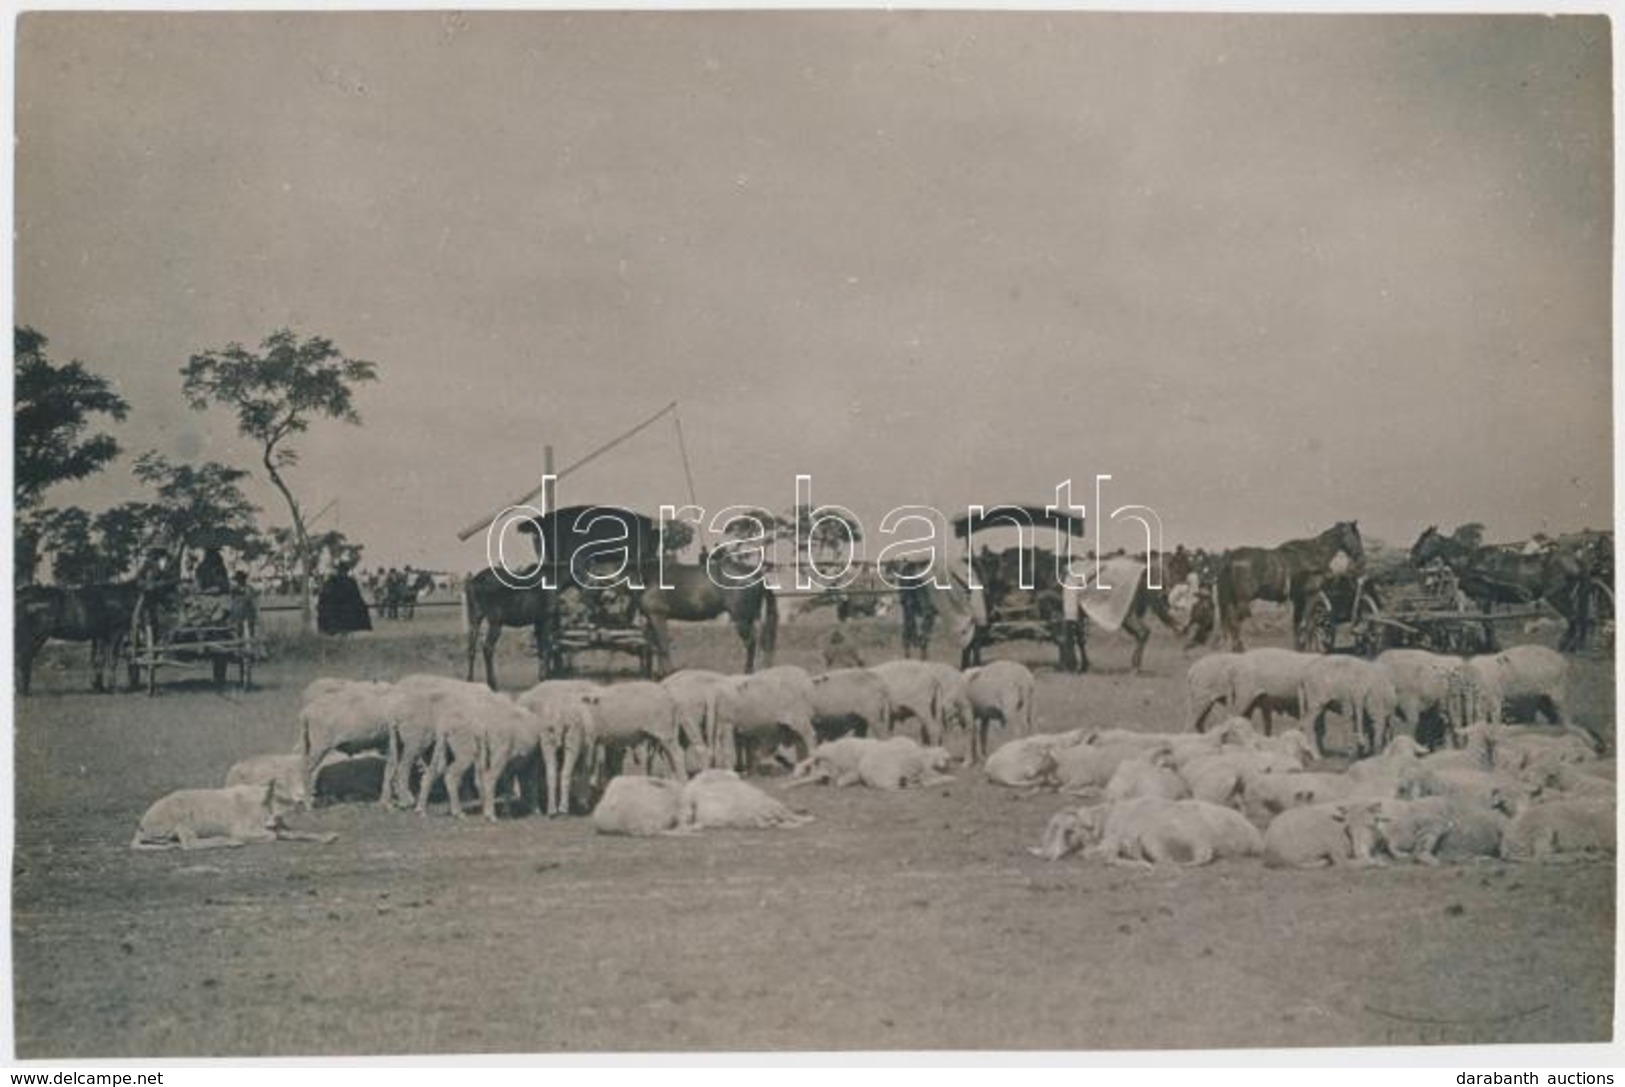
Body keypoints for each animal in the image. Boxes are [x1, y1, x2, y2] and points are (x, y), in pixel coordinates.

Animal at [132, 783, 336, 851]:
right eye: (282, 798)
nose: (301, 801)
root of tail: (143, 823)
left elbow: (298, 832)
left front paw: (329, 837)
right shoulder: (243, 829)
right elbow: (272, 836)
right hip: (181, 818)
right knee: (190, 844)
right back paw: (231, 842)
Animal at [1215, 519, 1365, 649]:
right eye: (1356, 536)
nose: (1360, 557)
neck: (1314, 554)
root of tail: (1231, 556)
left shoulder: (1298, 598)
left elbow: (1297, 624)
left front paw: (1299, 646)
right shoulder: (1311, 595)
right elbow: (1308, 624)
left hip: (1233, 600)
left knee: (1230, 623)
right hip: (1242, 601)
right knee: (1234, 623)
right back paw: (1239, 648)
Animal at [1254, 796, 1384, 864]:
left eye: (1369, 825)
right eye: (1348, 829)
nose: (1358, 852)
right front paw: (1376, 862)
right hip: (1321, 839)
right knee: (1342, 862)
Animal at [1410, 526, 1599, 653]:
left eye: (1422, 540)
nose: (1411, 558)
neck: (1471, 561)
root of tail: (1576, 560)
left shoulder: (1484, 599)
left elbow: (1488, 623)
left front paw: (1492, 647)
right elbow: (1487, 623)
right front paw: (1490, 646)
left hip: (1558, 596)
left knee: (1573, 619)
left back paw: (1566, 646)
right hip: (1571, 596)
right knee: (1578, 619)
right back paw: (1573, 645)